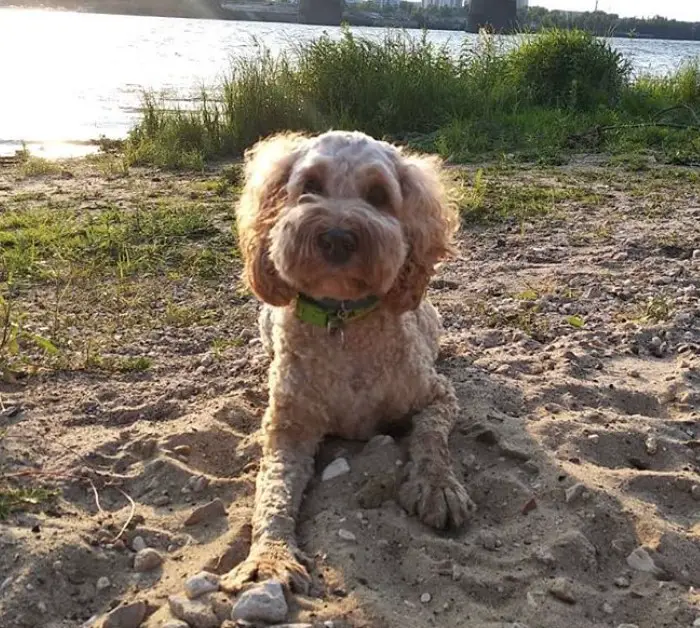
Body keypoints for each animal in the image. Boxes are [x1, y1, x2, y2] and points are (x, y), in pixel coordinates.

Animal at [223, 131, 476, 592]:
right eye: (309, 186)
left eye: (378, 195)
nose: (337, 237)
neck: (341, 321)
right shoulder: (288, 428)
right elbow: (272, 492)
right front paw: (269, 556)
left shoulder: (437, 396)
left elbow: (432, 440)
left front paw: (437, 486)